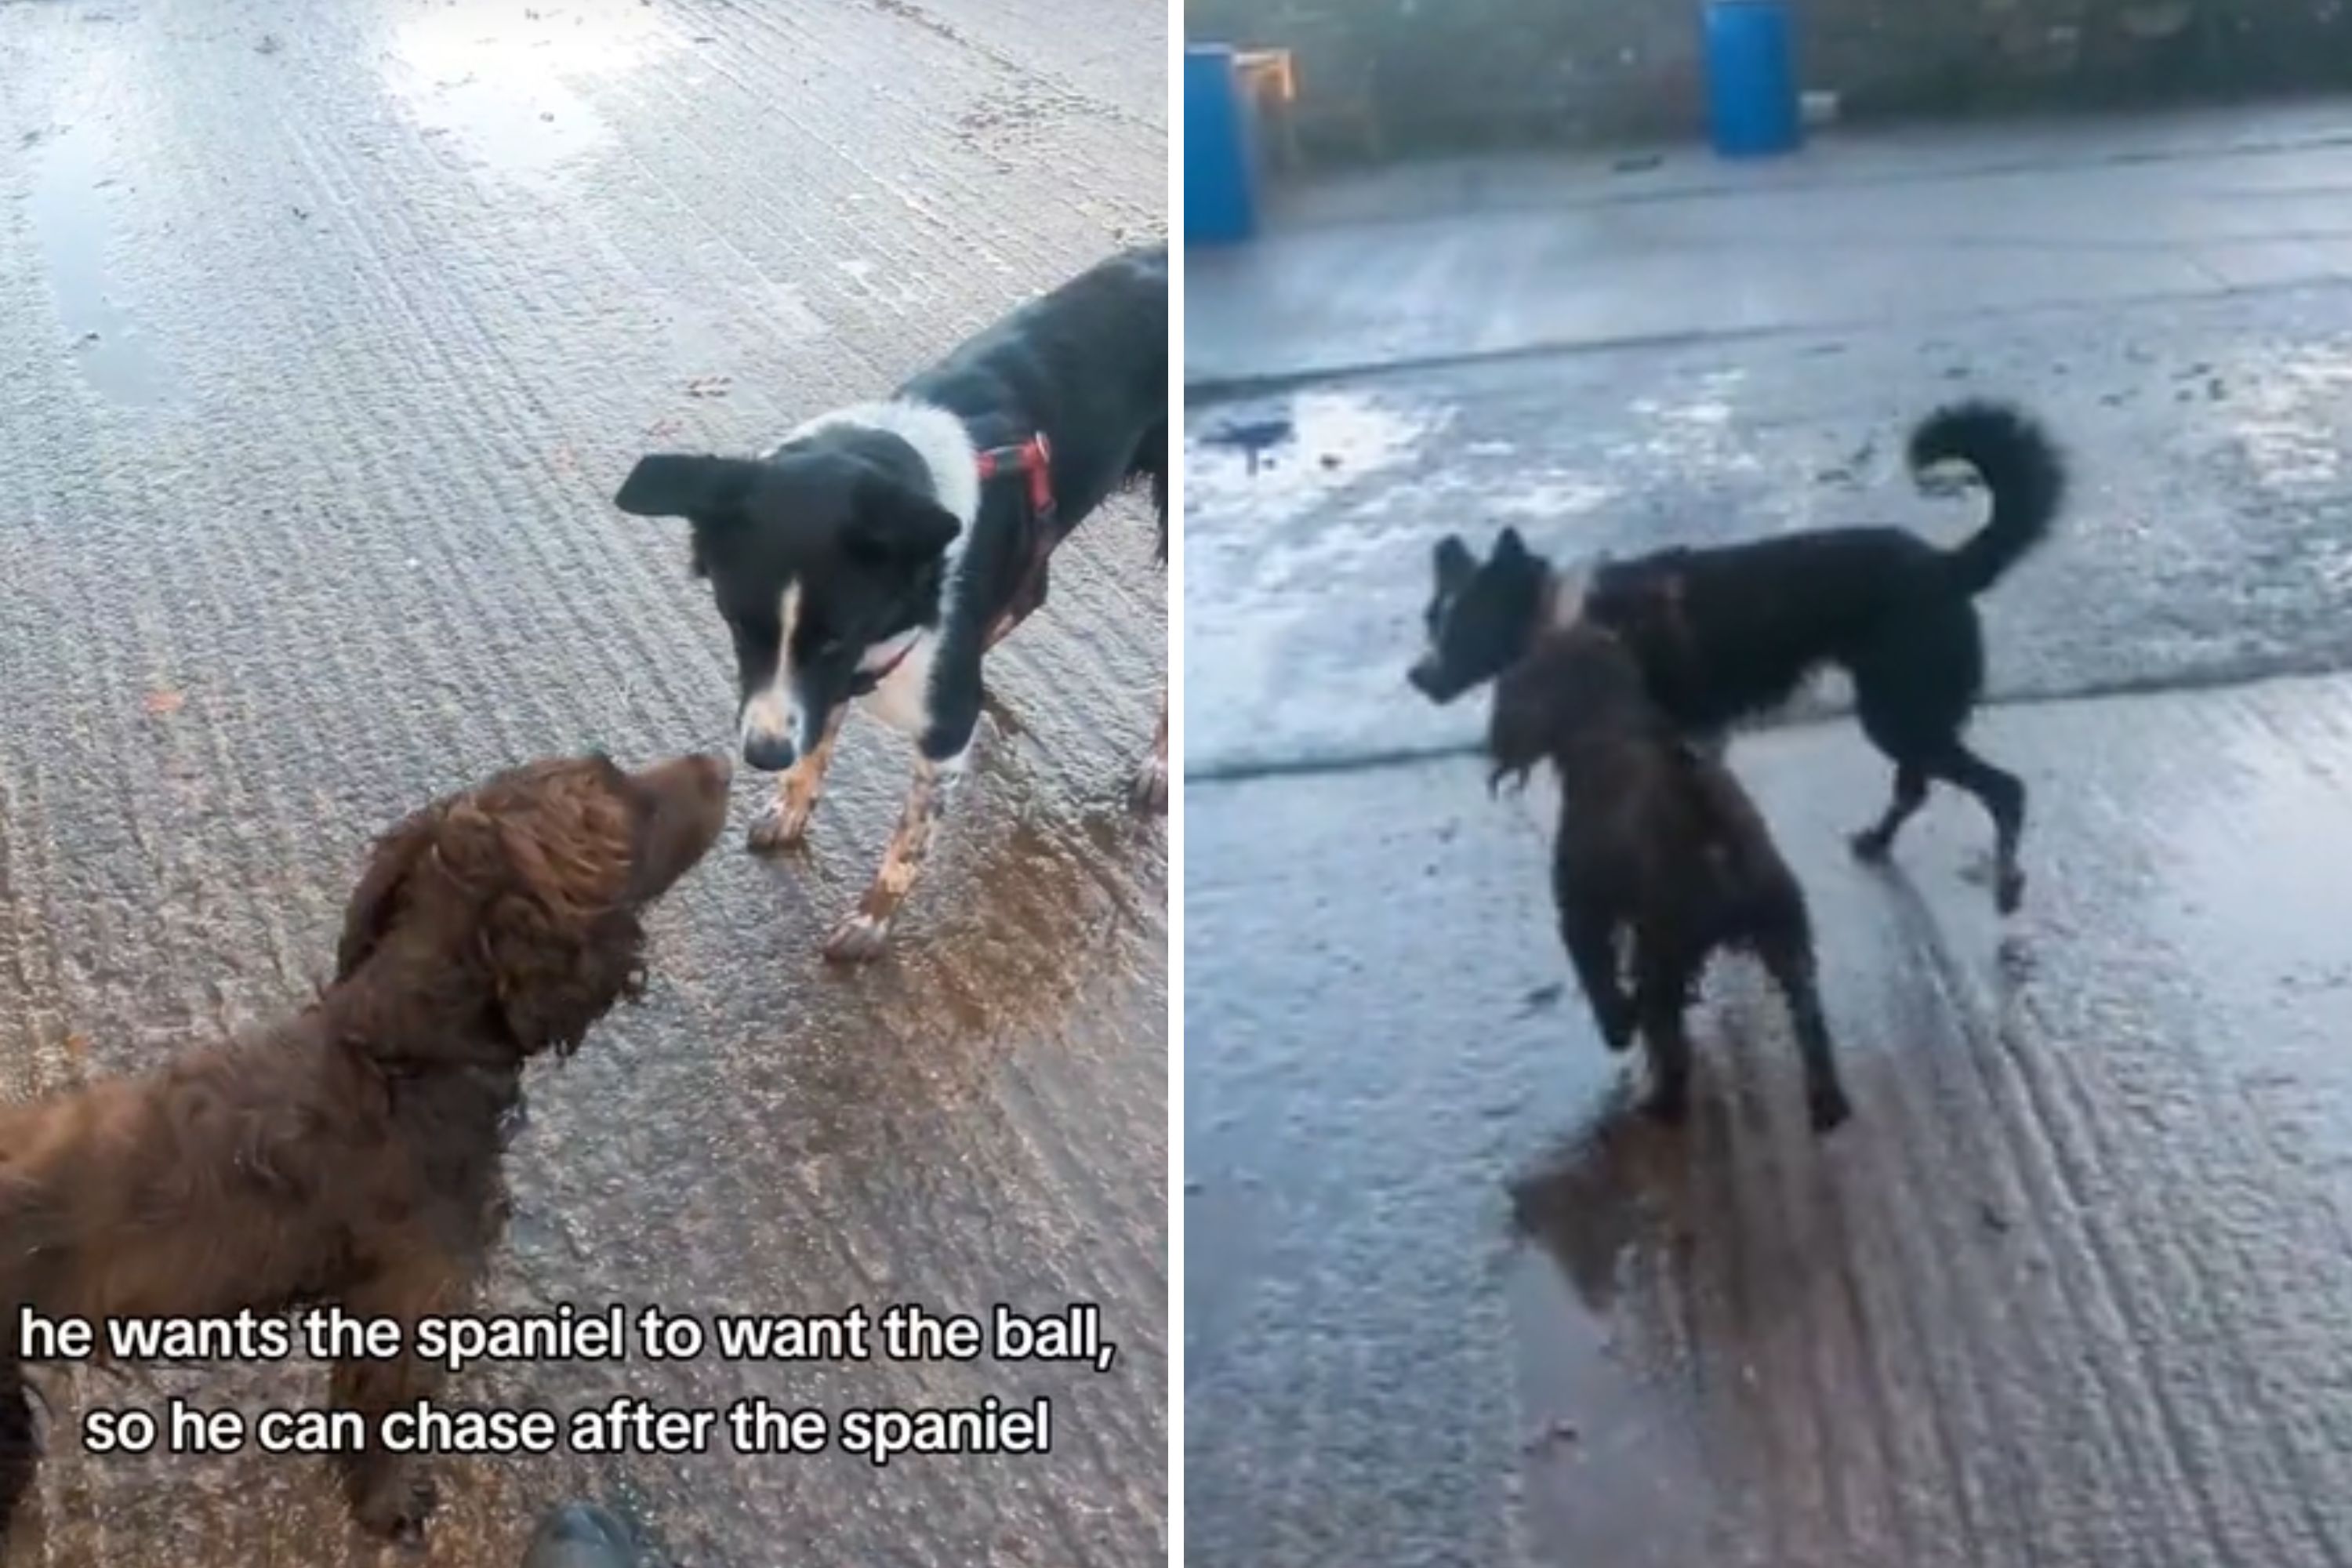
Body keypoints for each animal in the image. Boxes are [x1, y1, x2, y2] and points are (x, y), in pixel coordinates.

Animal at [0, 752, 729, 1552]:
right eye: (626, 799)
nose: (719, 761)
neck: (401, 1055)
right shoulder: (406, 1302)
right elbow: (382, 1421)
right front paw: (387, 1508)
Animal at [616, 243, 1167, 964]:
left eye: (834, 636)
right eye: (737, 624)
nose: (762, 756)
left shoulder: (929, 723)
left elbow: (909, 841)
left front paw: (872, 921)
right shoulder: (817, 689)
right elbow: (815, 750)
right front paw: (791, 806)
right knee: (1032, 591)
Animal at [1411, 404, 2060, 912]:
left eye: (1462, 630)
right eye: (1431, 620)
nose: (1416, 678)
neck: (1566, 615)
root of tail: (1946, 566)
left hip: (1899, 712)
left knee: (2004, 790)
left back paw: (2006, 882)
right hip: (1903, 710)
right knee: (1916, 789)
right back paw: (1879, 843)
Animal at [1486, 620, 1853, 1133]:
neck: (1610, 726)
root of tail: (1713, 832)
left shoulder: (1583, 910)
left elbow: (1597, 974)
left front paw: (1618, 1025)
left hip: (1667, 945)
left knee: (1669, 1036)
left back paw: (1660, 1098)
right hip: (1783, 929)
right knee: (1807, 1014)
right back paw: (1826, 1099)